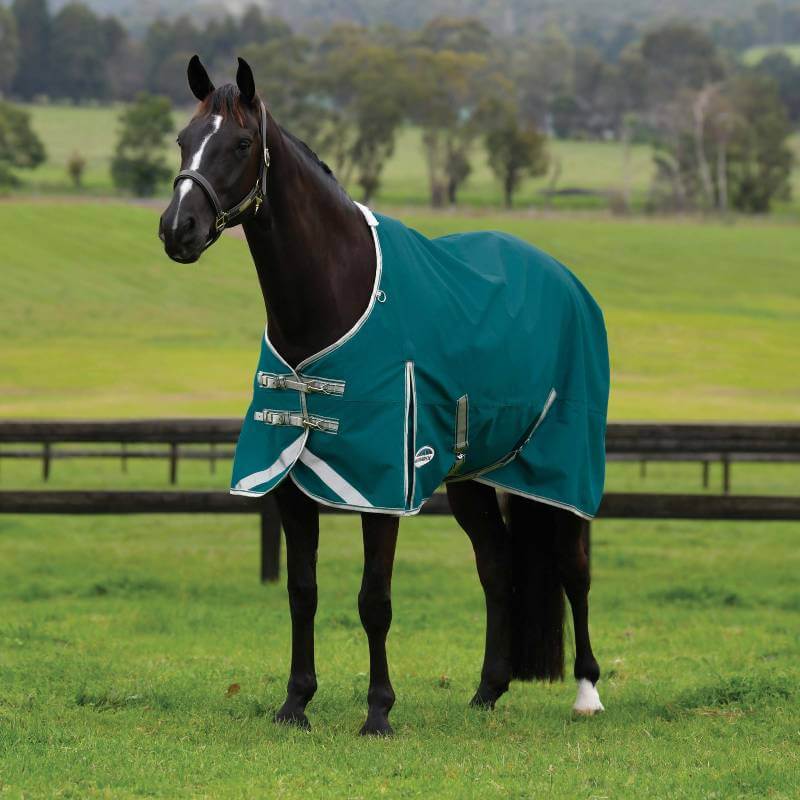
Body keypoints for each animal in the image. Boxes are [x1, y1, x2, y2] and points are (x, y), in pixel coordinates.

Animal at [159, 56, 607, 736]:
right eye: (185, 139)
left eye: (238, 144)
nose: (177, 228)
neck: (332, 302)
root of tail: (566, 281)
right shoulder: (289, 483)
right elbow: (302, 592)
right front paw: (296, 703)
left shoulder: (381, 487)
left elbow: (374, 600)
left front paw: (378, 713)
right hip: (471, 474)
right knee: (498, 566)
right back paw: (488, 690)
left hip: (564, 469)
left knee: (573, 568)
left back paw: (586, 692)